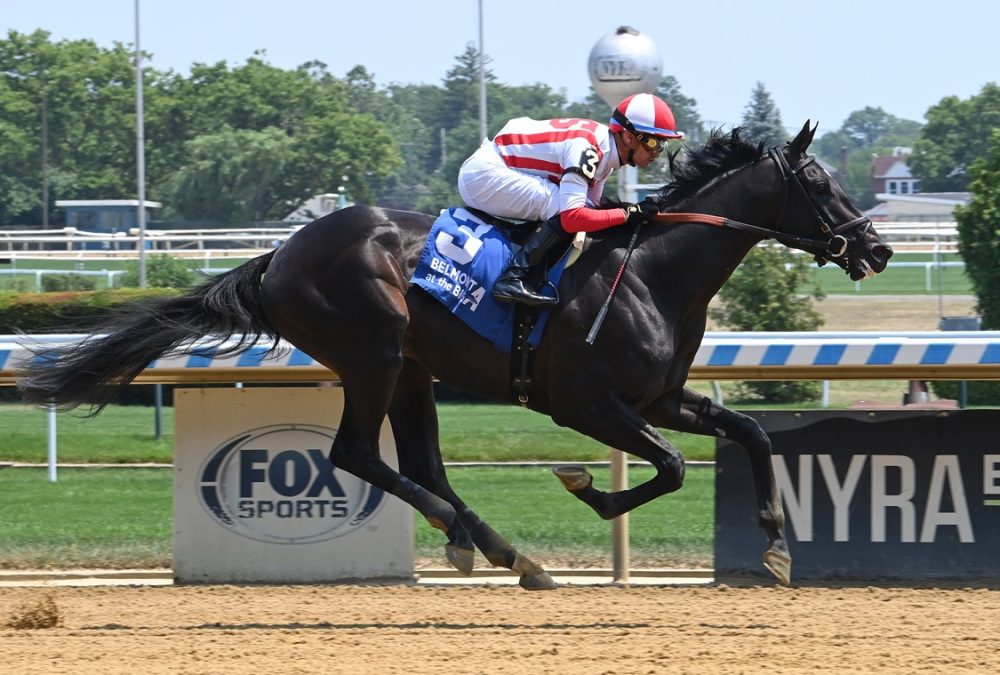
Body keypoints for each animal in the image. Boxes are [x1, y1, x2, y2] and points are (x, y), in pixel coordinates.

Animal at [15, 123, 892, 592]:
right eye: (821, 183)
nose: (879, 248)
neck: (651, 273)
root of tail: (280, 255)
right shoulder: (586, 402)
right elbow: (671, 466)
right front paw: (582, 485)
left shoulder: (659, 398)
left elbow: (752, 433)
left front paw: (776, 546)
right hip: (371, 350)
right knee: (355, 453)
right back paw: (473, 536)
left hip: (411, 368)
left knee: (420, 463)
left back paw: (502, 549)